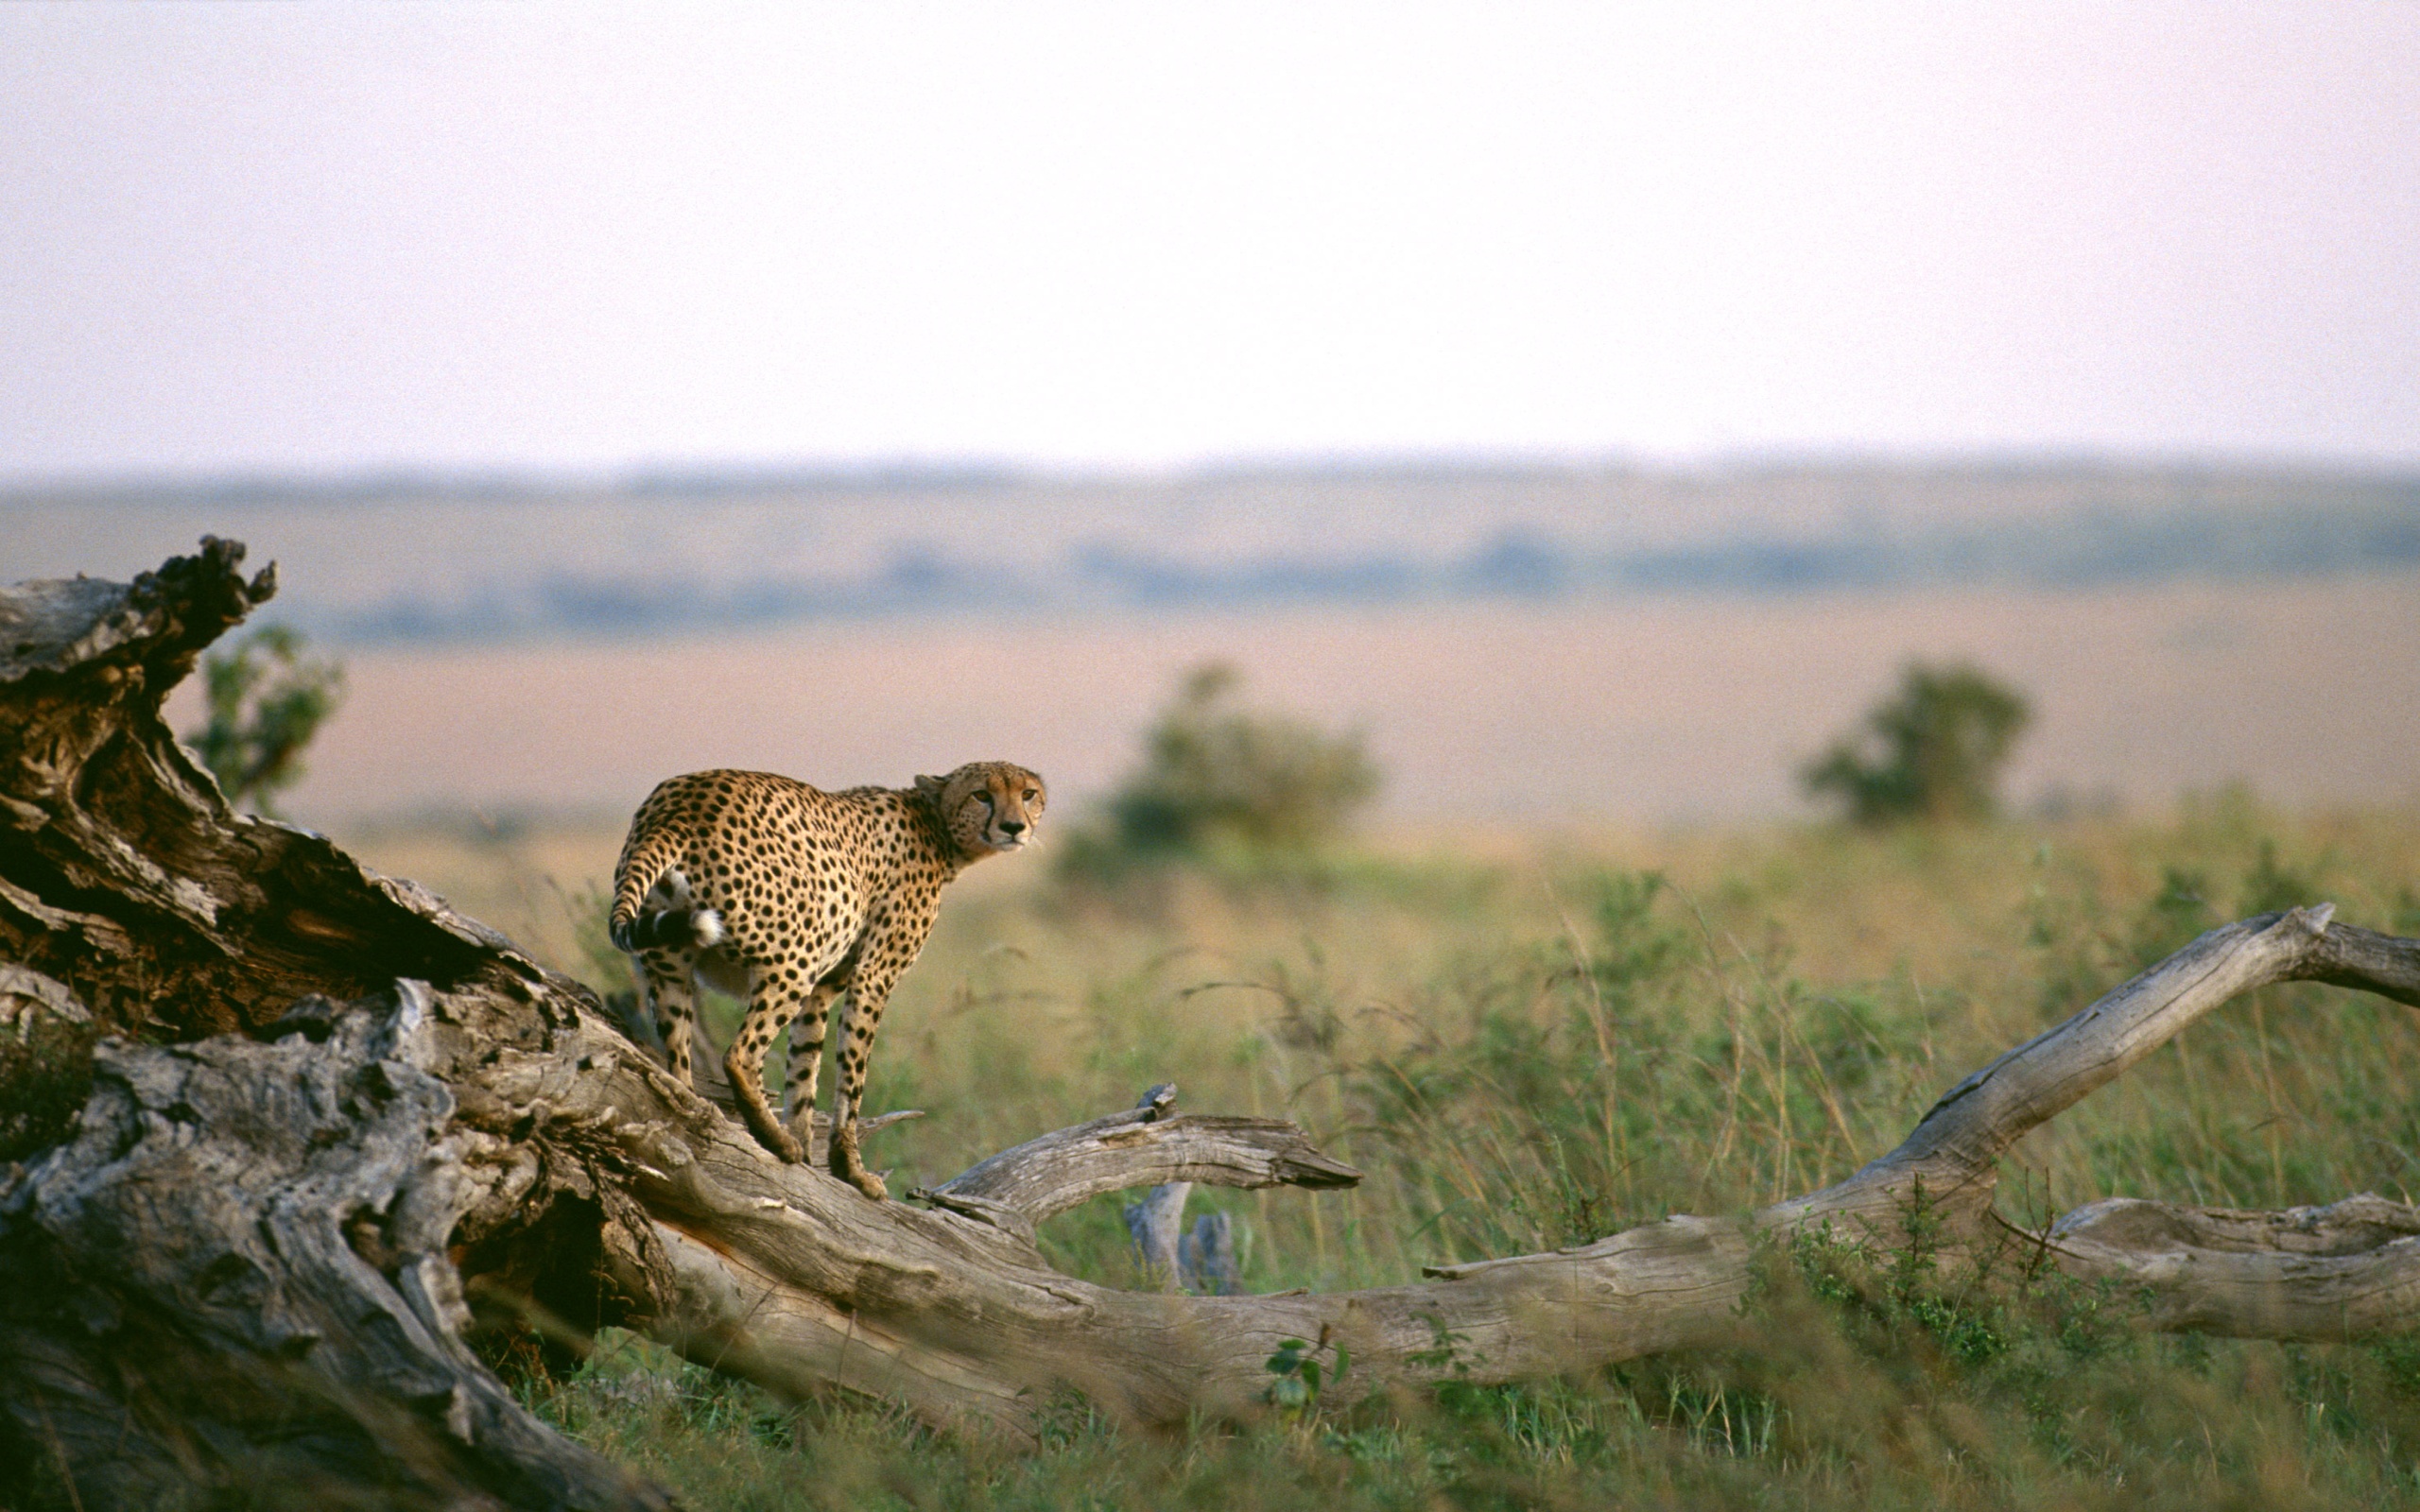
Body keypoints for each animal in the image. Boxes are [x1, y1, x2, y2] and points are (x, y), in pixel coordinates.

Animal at [609, 760, 1045, 1197]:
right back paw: (774, 1138)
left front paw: (808, 1150)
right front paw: (850, 1169)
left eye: (1028, 794)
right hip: (792, 959)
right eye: (981, 795)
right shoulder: (873, 976)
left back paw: (704, 1116)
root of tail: (683, 798)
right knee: (739, 1055)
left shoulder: (822, 990)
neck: (936, 827)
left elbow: (804, 1068)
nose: (1013, 827)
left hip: (670, 969)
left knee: (679, 1070)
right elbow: (852, 1076)